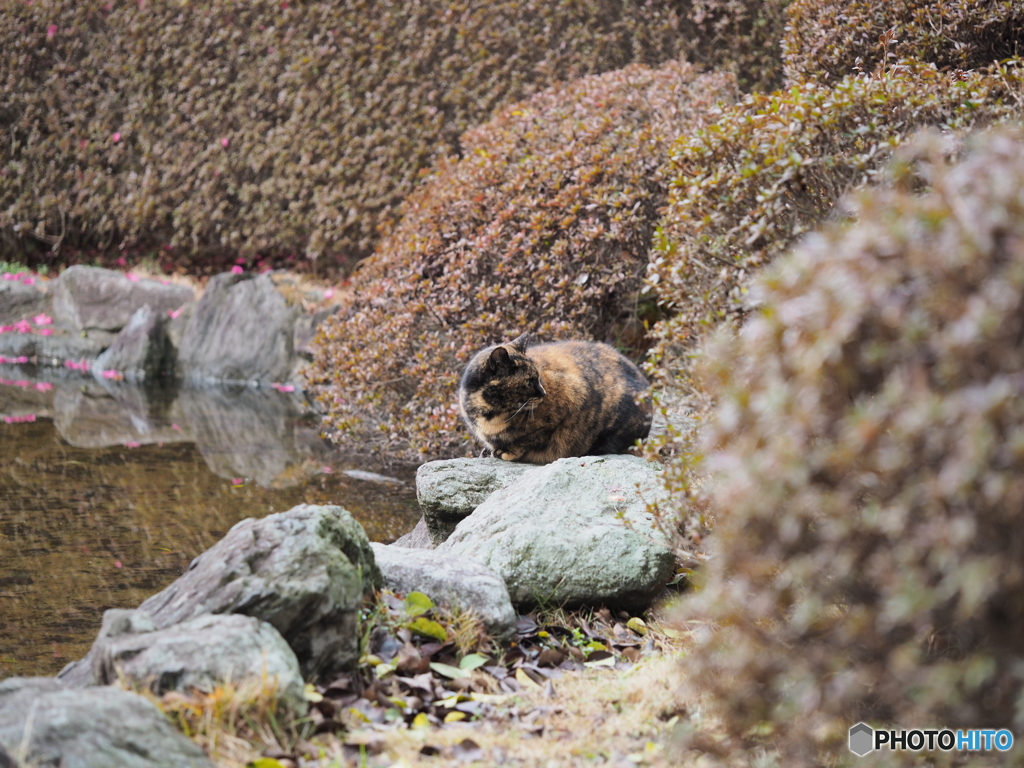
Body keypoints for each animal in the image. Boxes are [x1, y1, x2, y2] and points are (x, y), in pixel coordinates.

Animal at [454, 335, 647, 466]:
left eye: (538, 377)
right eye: (529, 381)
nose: (543, 393)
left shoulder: (574, 394)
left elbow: (530, 438)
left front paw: (506, 451)